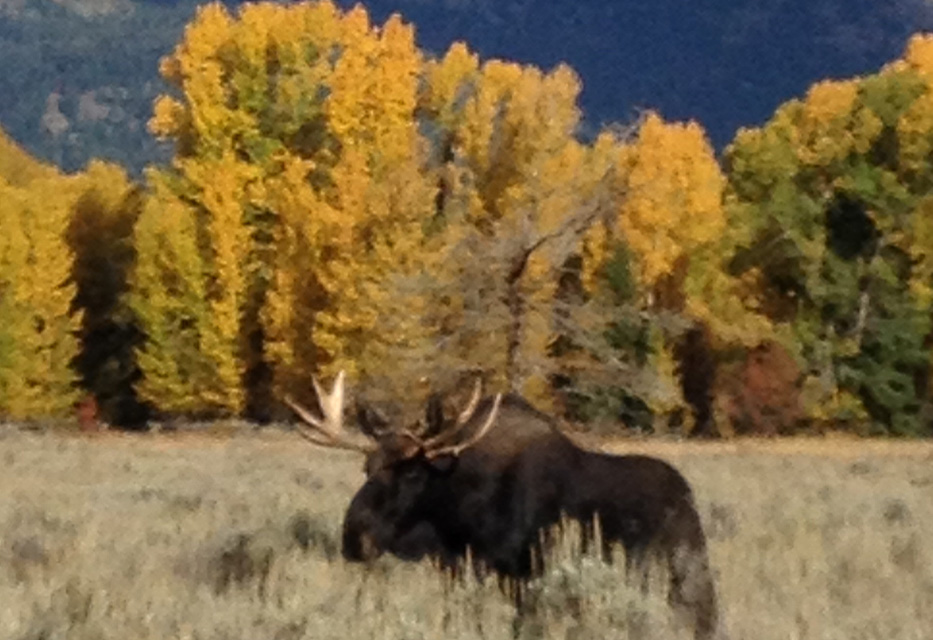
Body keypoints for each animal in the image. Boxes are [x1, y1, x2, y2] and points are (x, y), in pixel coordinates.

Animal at [284, 372, 720, 636]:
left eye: (411, 474)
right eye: (366, 467)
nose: (354, 537)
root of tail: (687, 499)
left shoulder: (519, 576)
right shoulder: (462, 570)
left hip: (681, 579)